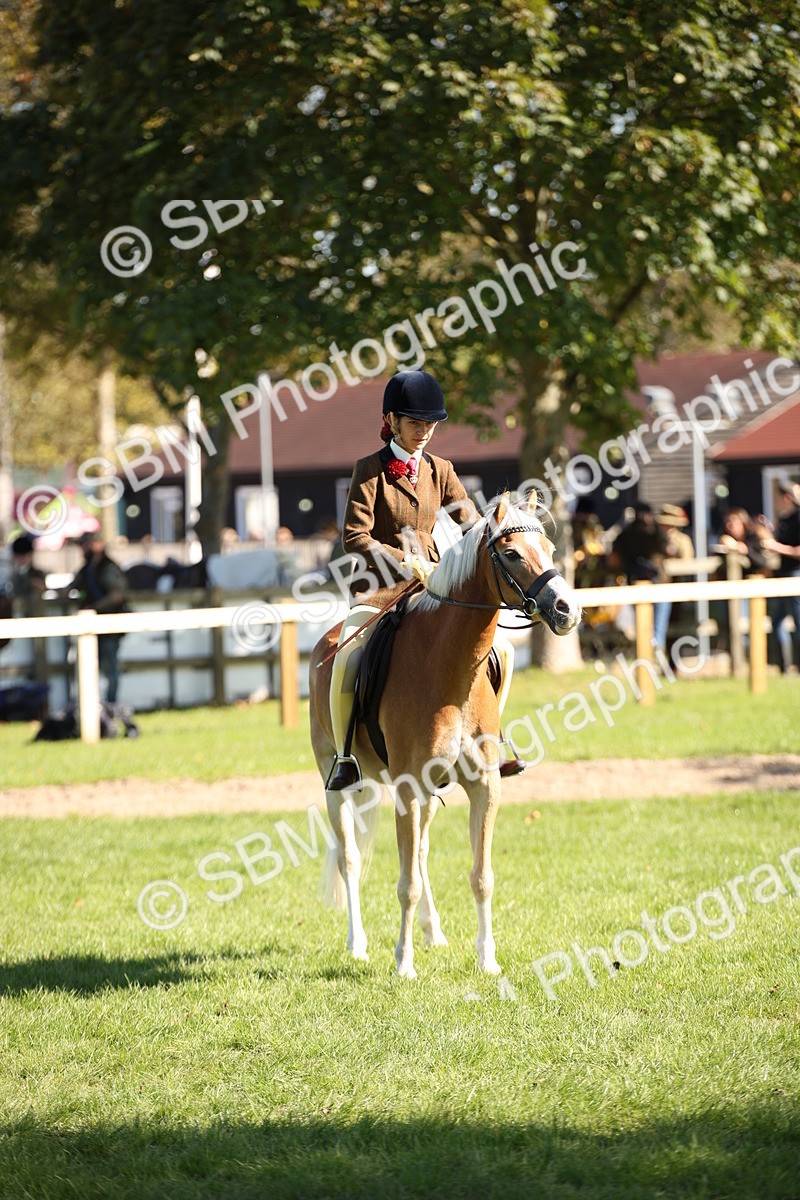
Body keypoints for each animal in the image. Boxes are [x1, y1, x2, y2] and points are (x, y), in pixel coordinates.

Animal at [309, 496, 582, 979]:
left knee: (420, 852)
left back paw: (433, 933)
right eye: (512, 553)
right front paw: (403, 964)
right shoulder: (407, 788)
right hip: (336, 779)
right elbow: (405, 884)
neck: (448, 667)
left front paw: (488, 959)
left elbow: (481, 876)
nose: (568, 609)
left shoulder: (484, 785)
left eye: (550, 547)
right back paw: (358, 944)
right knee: (350, 859)